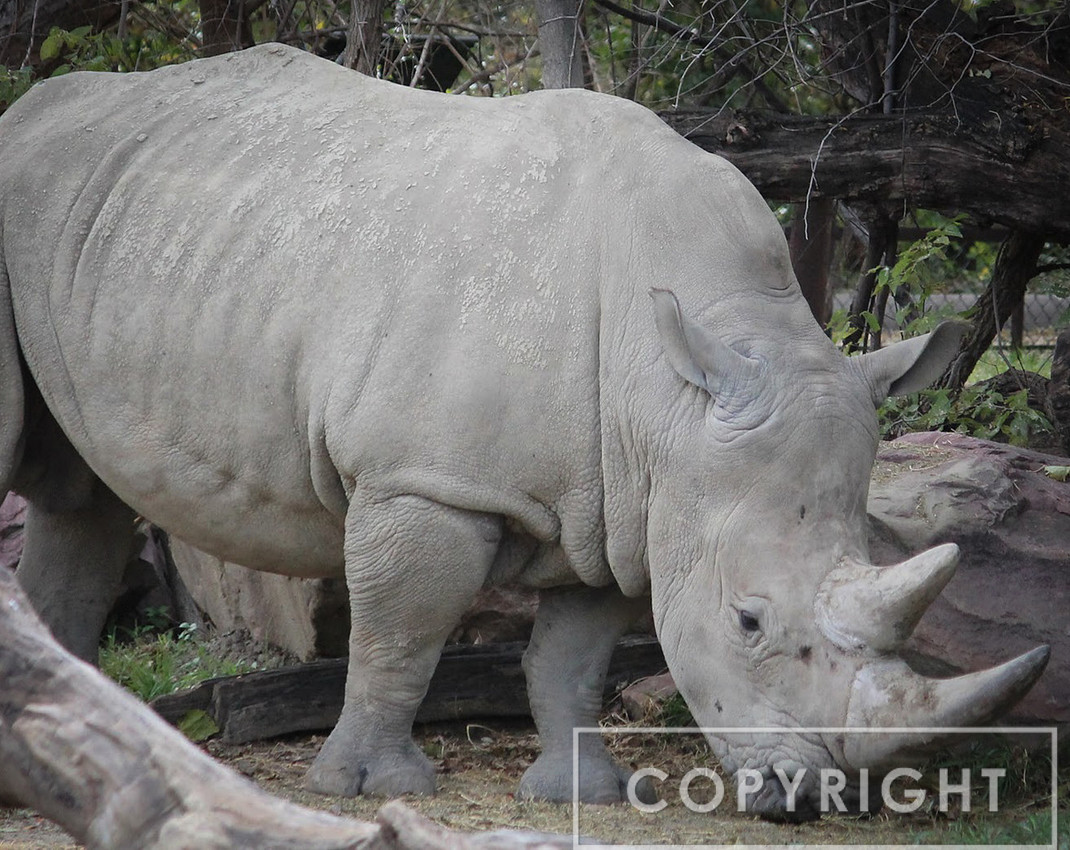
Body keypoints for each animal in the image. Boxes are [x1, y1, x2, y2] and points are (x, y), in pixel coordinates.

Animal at [0, 43, 1049, 821]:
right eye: (750, 623)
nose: (815, 799)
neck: (669, 387)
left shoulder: (625, 503)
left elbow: (572, 658)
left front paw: (580, 792)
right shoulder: (426, 479)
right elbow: (401, 634)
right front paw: (369, 788)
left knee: (80, 497)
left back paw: (62, 733)